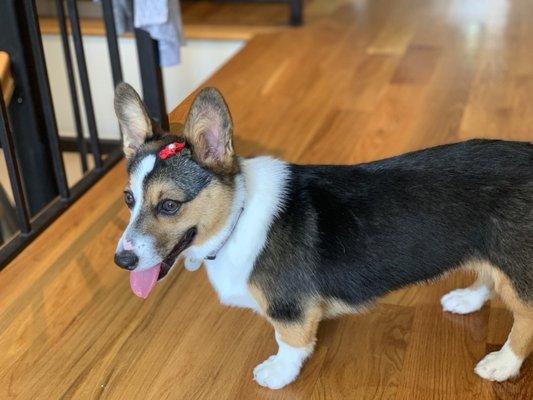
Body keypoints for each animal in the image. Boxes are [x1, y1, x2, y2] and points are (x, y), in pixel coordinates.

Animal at [113, 83, 532, 390]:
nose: (122, 261)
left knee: (525, 317)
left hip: (517, 268)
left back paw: (503, 363)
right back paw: (467, 299)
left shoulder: (289, 310)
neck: (237, 214)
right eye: (129, 199)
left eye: (169, 205)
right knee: (488, 276)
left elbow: (289, 341)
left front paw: (278, 372)